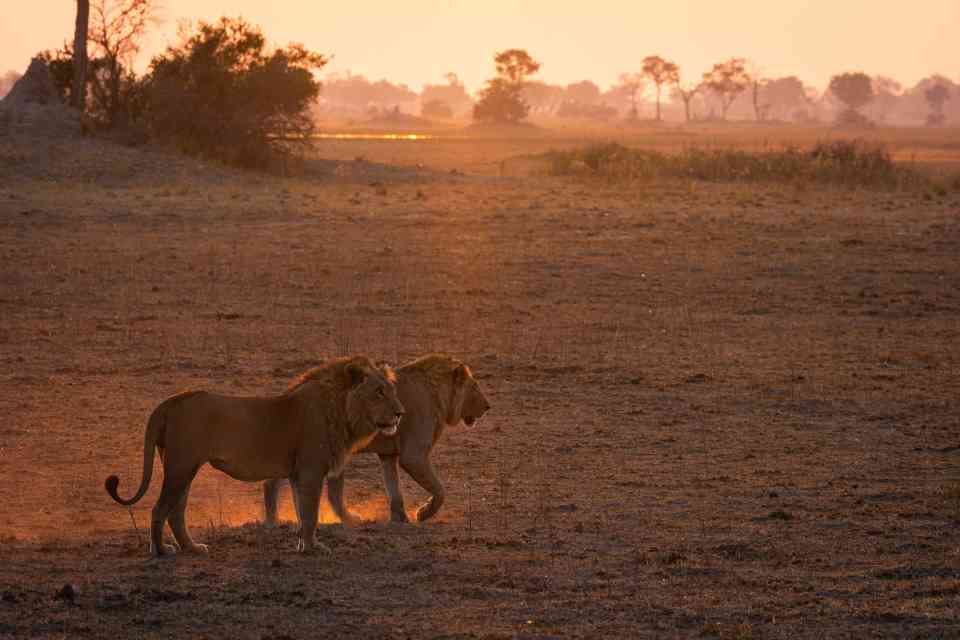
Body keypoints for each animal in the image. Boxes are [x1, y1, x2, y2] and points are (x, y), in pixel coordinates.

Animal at [105, 356, 404, 556]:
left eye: (392, 390)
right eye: (379, 392)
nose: (400, 413)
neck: (342, 411)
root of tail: (171, 401)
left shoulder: (297, 474)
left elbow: (302, 512)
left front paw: (304, 545)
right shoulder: (310, 472)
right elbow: (310, 513)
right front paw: (314, 548)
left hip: (183, 467)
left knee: (176, 512)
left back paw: (192, 548)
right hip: (181, 466)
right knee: (160, 509)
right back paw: (160, 551)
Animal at [263, 354, 490, 525]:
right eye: (475, 386)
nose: (488, 406)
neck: (439, 395)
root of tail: (291, 390)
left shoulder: (389, 455)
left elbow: (394, 488)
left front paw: (400, 518)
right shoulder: (413, 455)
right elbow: (439, 489)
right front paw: (423, 513)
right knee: (329, 492)